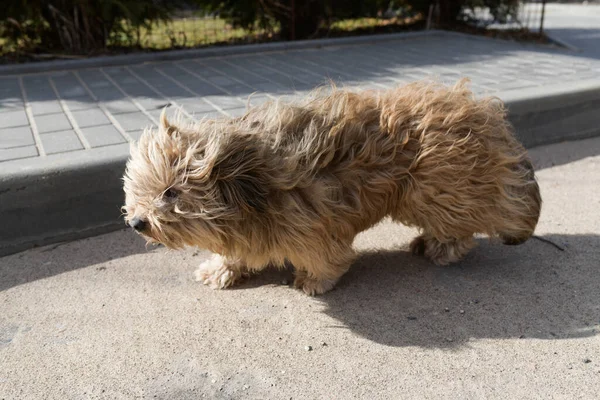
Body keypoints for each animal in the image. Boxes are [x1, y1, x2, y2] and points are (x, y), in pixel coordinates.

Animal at [123, 79, 544, 296]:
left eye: (171, 192)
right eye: (141, 190)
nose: (136, 222)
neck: (247, 183)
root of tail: (484, 115)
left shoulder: (311, 221)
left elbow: (326, 257)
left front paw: (314, 279)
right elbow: (237, 251)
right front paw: (222, 268)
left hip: (434, 190)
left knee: (461, 226)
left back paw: (441, 247)